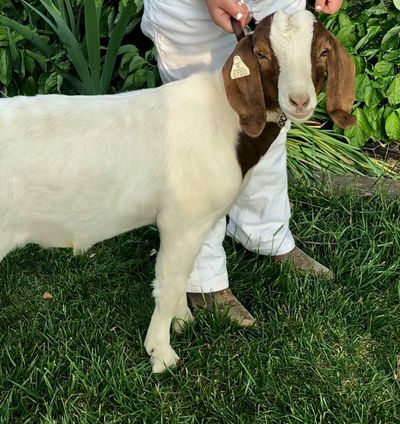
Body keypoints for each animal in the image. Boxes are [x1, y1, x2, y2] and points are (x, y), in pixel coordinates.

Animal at [0, 10, 356, 372]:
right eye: (262, 54)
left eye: (323, 51)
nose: (299, 100)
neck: (224, 118)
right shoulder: (182, 220)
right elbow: (169, 284)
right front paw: (161, 354)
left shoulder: (201, 222)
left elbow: (185, 274)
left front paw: (183, 321)